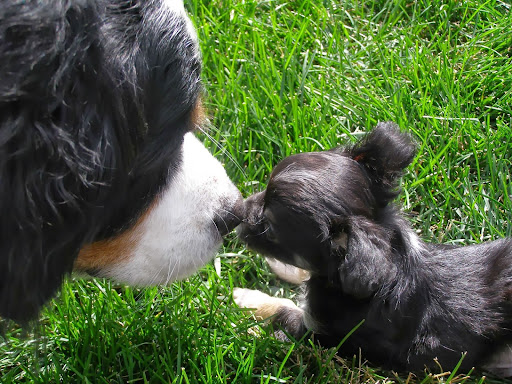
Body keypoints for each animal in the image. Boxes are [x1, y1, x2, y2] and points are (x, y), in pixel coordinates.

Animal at [235, 123, 512, 376]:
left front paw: (246, 301)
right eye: (262, 191)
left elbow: (283, 308)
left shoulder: (320, 335)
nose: (236, 213)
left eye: (269, 228)